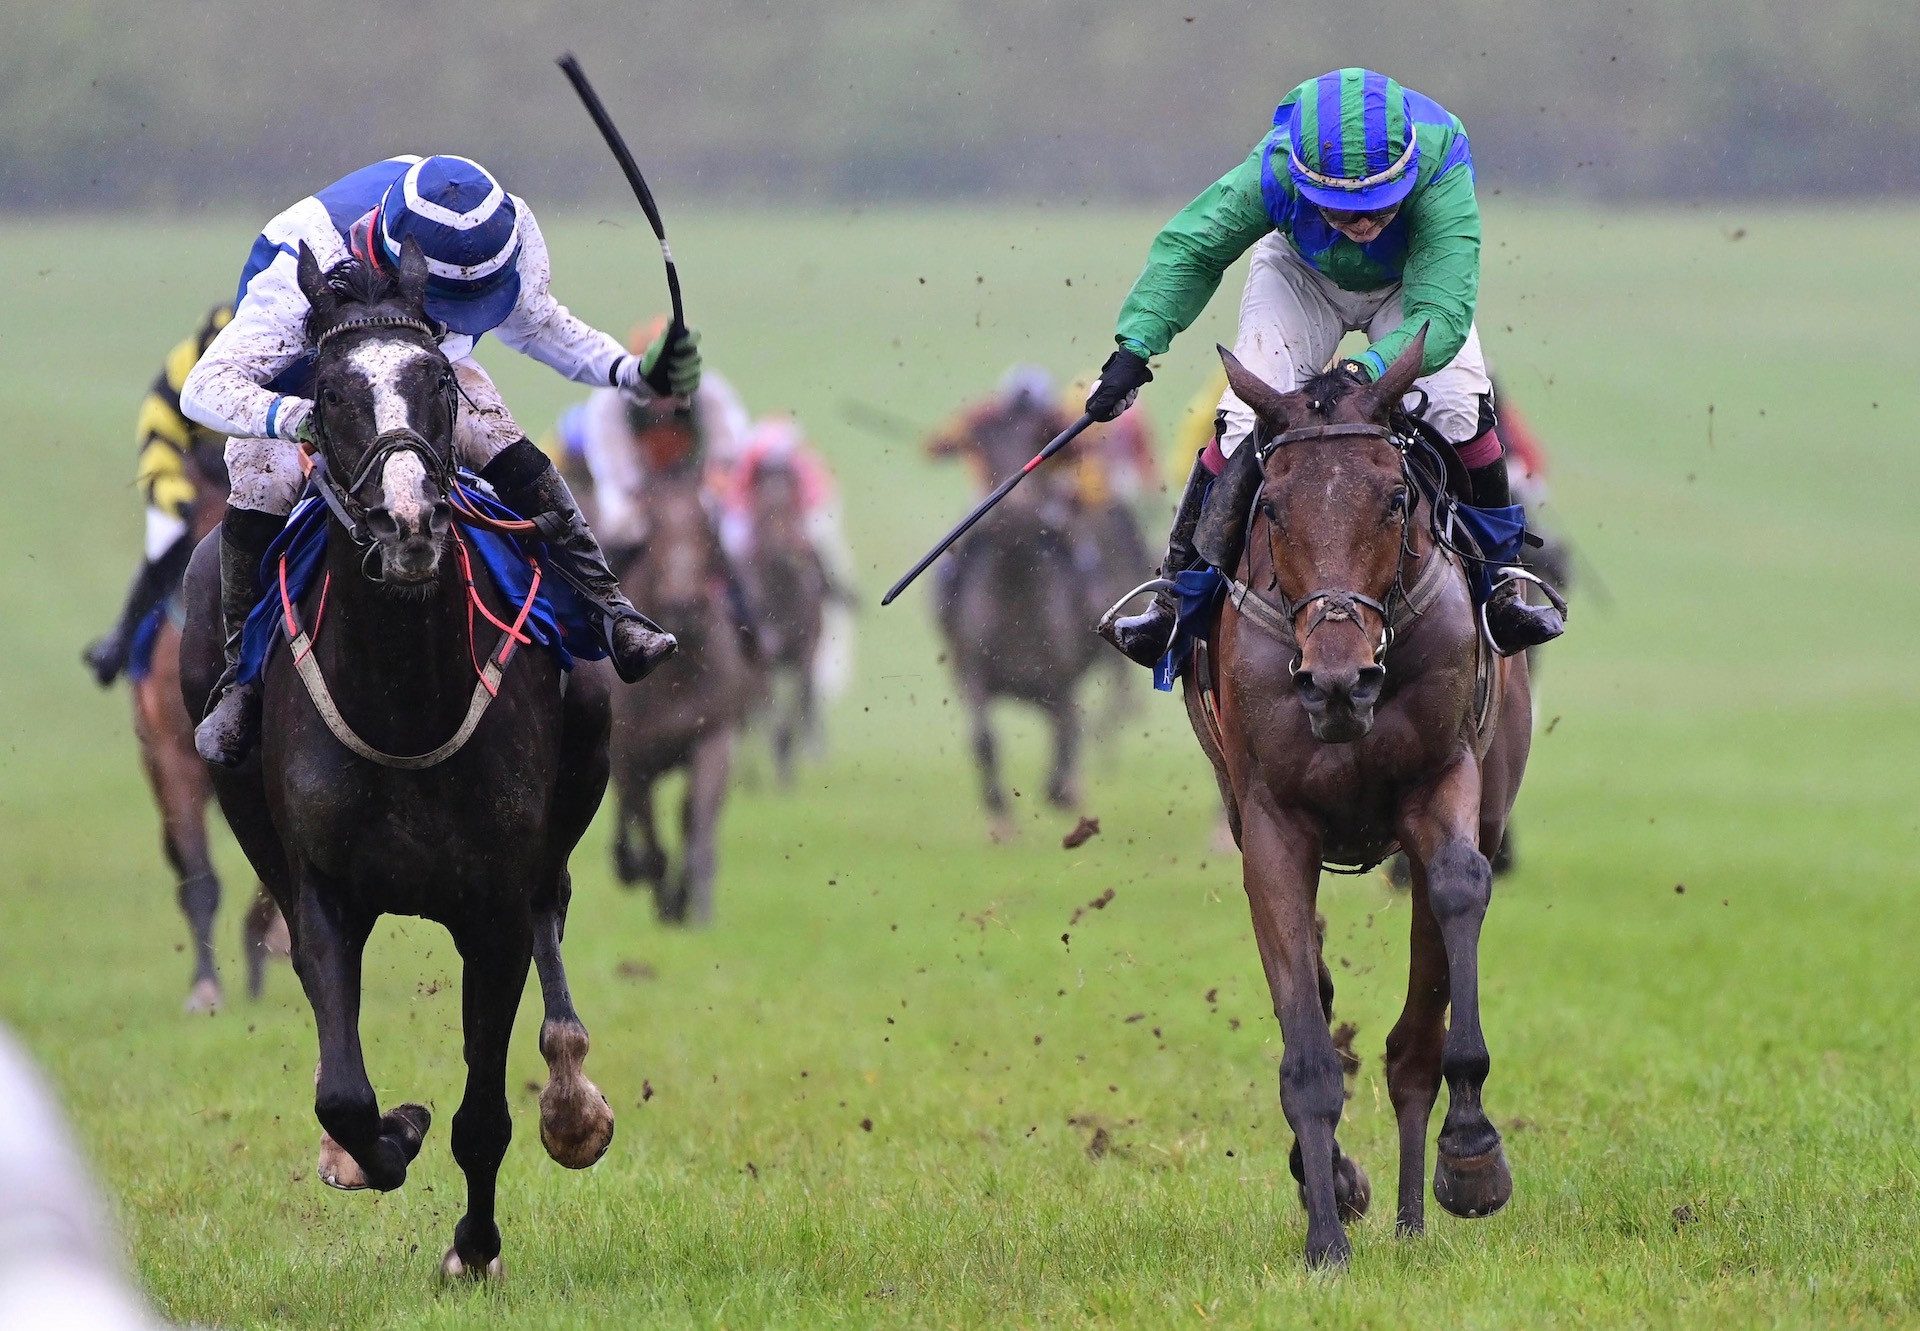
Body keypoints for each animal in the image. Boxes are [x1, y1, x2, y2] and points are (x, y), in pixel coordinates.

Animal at [180, 241, 614, 1275]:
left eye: (437, 382)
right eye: (332, 391)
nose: (409, 521)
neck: (407, 699)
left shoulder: (492, 907)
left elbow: (485, 1114)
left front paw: (475, 1246)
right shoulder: (327, 889)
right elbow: (344, 1088)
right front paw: (381, 1139)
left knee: (553, 910)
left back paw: (572, 1094)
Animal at [606, 418, 756, 925]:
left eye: (706, 527)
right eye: (652, 527)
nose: (684, 605)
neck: (675, 675)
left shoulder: (713, 737)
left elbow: (697, 821)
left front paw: (695, 898)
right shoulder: (630, 753)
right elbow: (648, 834)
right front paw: (664, 897)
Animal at [1182, 334, 1528, 1267]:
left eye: (1396, 497)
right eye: (1270, 507)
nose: (1338, 681)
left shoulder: (1444, 780)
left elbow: (1457, 890)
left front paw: (1473, 1150)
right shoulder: (1269, 823)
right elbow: (1304, 1034)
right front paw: (1326, 1236)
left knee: (1413, 1042)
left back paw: (1415, 1211)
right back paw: (1335, 1182)